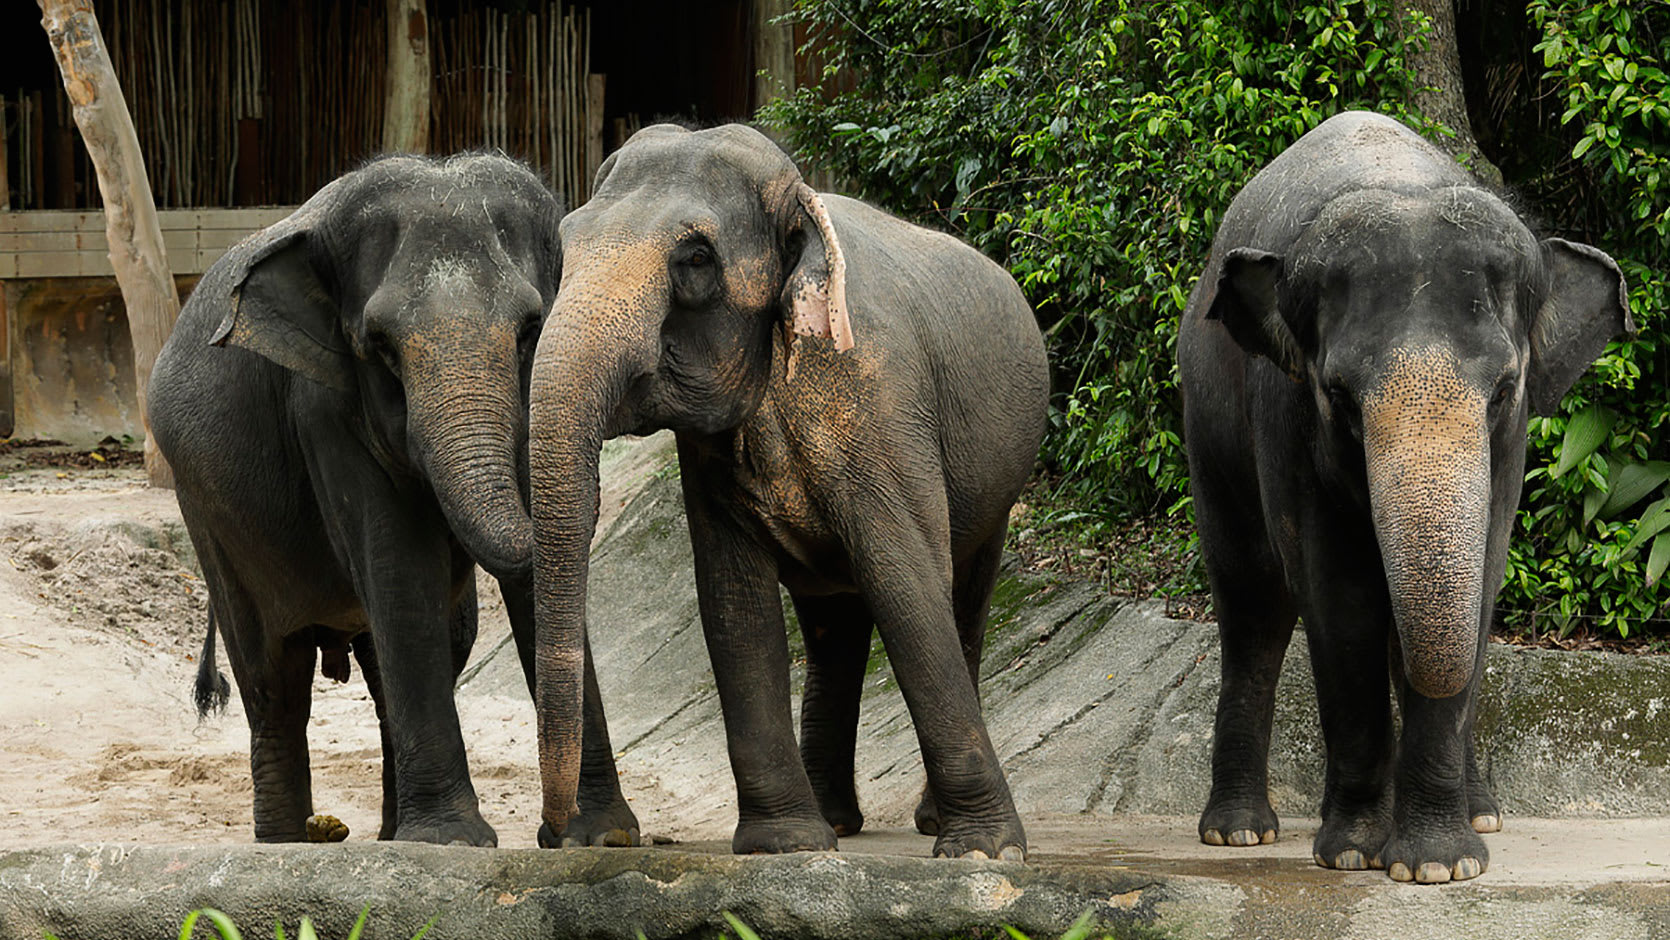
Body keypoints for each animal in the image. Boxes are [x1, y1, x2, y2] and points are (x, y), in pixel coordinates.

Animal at [148, 152, 637, 844]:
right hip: (205, 514)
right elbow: (400, 568)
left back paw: (385, 834)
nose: (550, 824)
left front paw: (601, 837)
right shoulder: (325, 408)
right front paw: (454, 843)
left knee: (408, 658)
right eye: (380, 347)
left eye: (530, 331)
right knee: (271, 676)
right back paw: (288, 843)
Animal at [524, 123, 1042, 861]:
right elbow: (734, 604)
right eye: (567, 243)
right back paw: (836, 822)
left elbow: (909, 586)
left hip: (997, 481)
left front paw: (984, 852)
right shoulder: (710, 458)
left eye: (695, 258)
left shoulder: (883, 409)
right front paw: (786, 846)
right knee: (833, 623)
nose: (554, 836)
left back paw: (928, 822)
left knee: (960, 600)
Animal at [1175, 114, 1629, 888]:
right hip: (1207, 421)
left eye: (1504, 390)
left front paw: (1441, 866)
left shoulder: (1508, 450)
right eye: (1339, 396)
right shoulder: (1287, 418)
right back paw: (1238, 833)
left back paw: (1482, 816)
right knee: (1252, 603)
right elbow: (1340, 601)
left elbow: (1477, 584)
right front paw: (1355, 853)